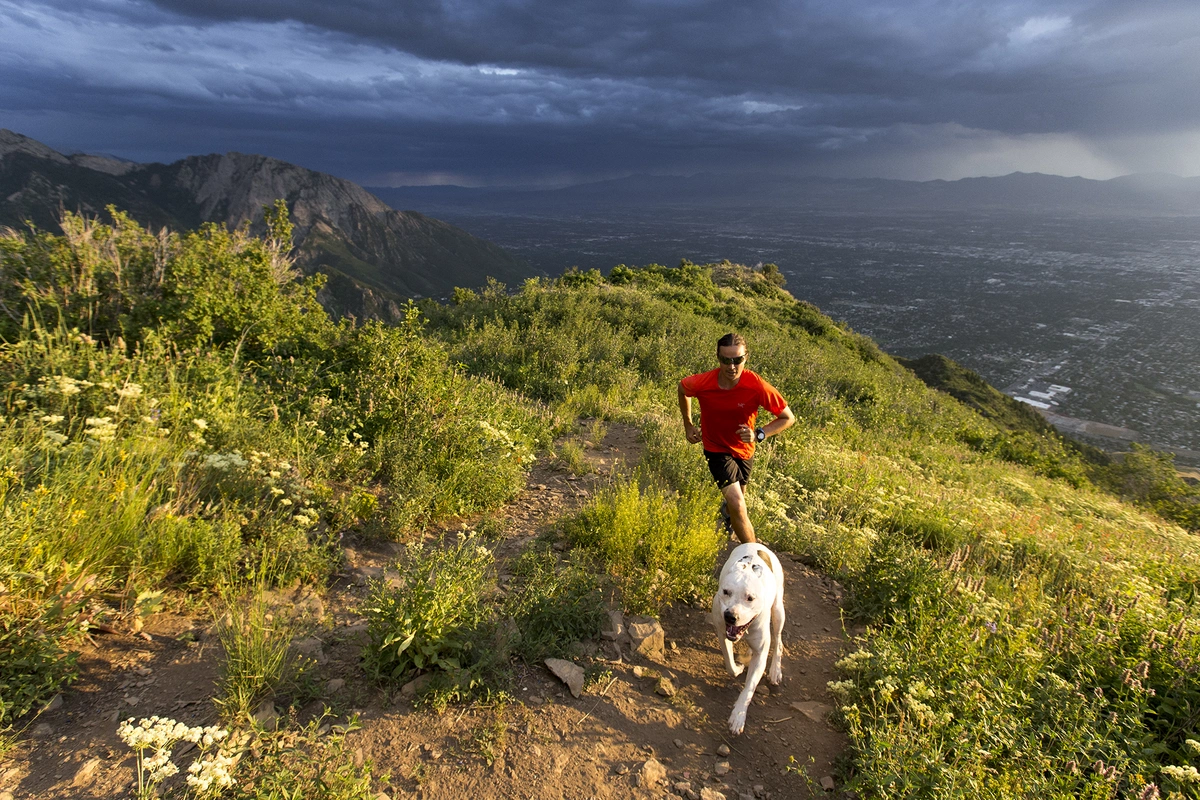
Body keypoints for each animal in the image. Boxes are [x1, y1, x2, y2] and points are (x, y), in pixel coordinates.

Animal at [705, 542, 782, 734]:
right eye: (726, 592)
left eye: (750, 598)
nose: (730, 616)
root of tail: (756, 543)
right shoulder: (723, 634)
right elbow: (730, 665)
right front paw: (739, 668)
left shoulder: (761, 655)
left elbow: (749, 689)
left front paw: (738, 716)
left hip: (778, 611)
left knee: (778, 640)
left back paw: (775, 670)